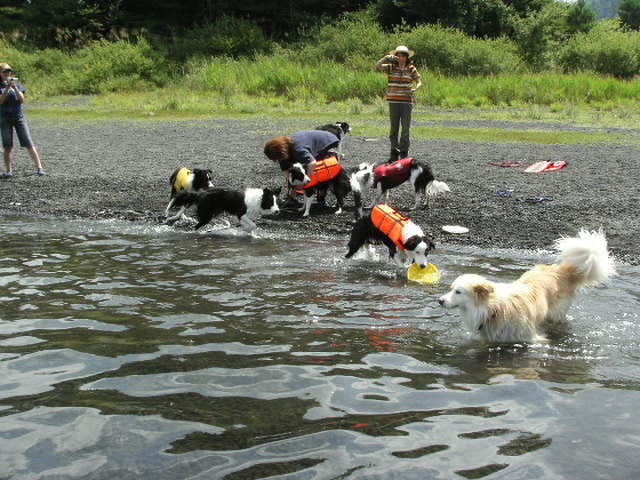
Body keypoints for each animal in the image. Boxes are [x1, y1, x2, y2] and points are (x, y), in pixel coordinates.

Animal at [440, 231, 616, 344]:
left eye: (458, 292)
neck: (492, 310)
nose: (439, 301)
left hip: (555, 314)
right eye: (450, 289)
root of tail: (560, 271)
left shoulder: (532, 339)